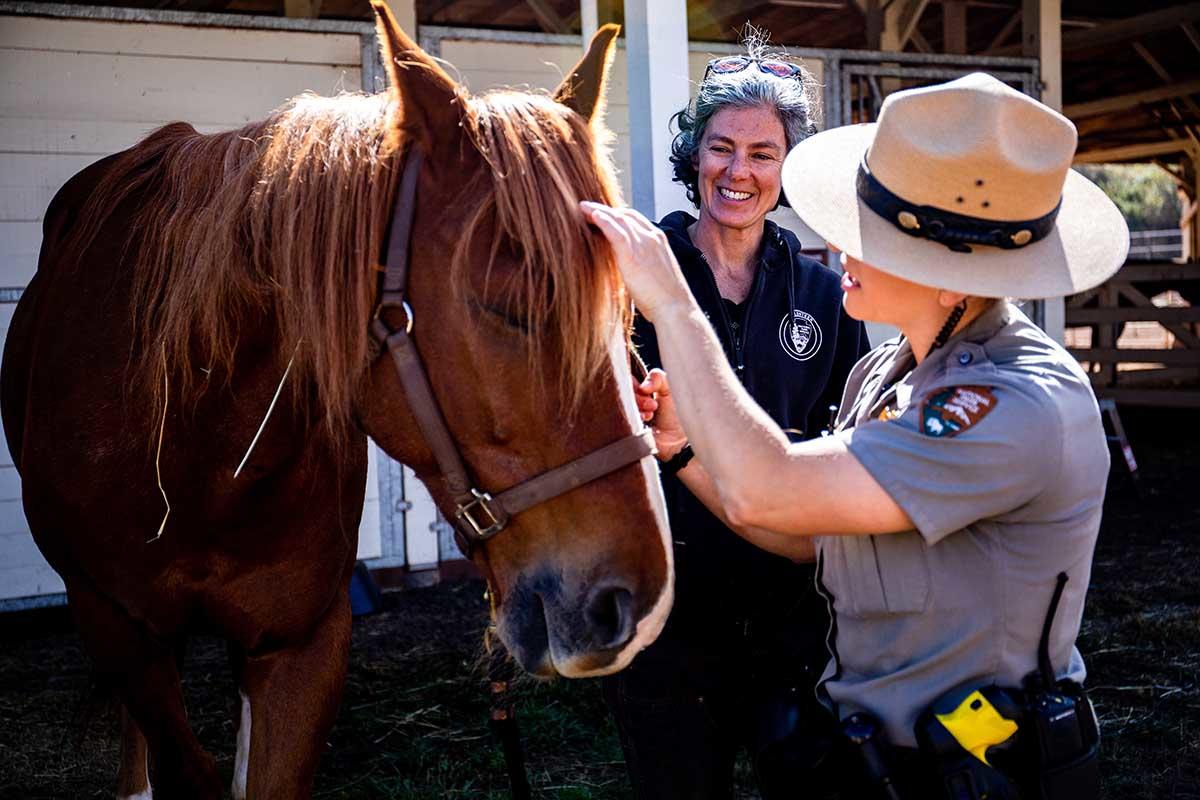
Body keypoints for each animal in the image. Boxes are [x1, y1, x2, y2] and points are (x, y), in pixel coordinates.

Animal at [0, 3, 676, 796]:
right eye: (509, 306)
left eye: (627, 314)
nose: (634, 602)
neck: (195, 449)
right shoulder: (119, 628)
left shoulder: (301, 645)